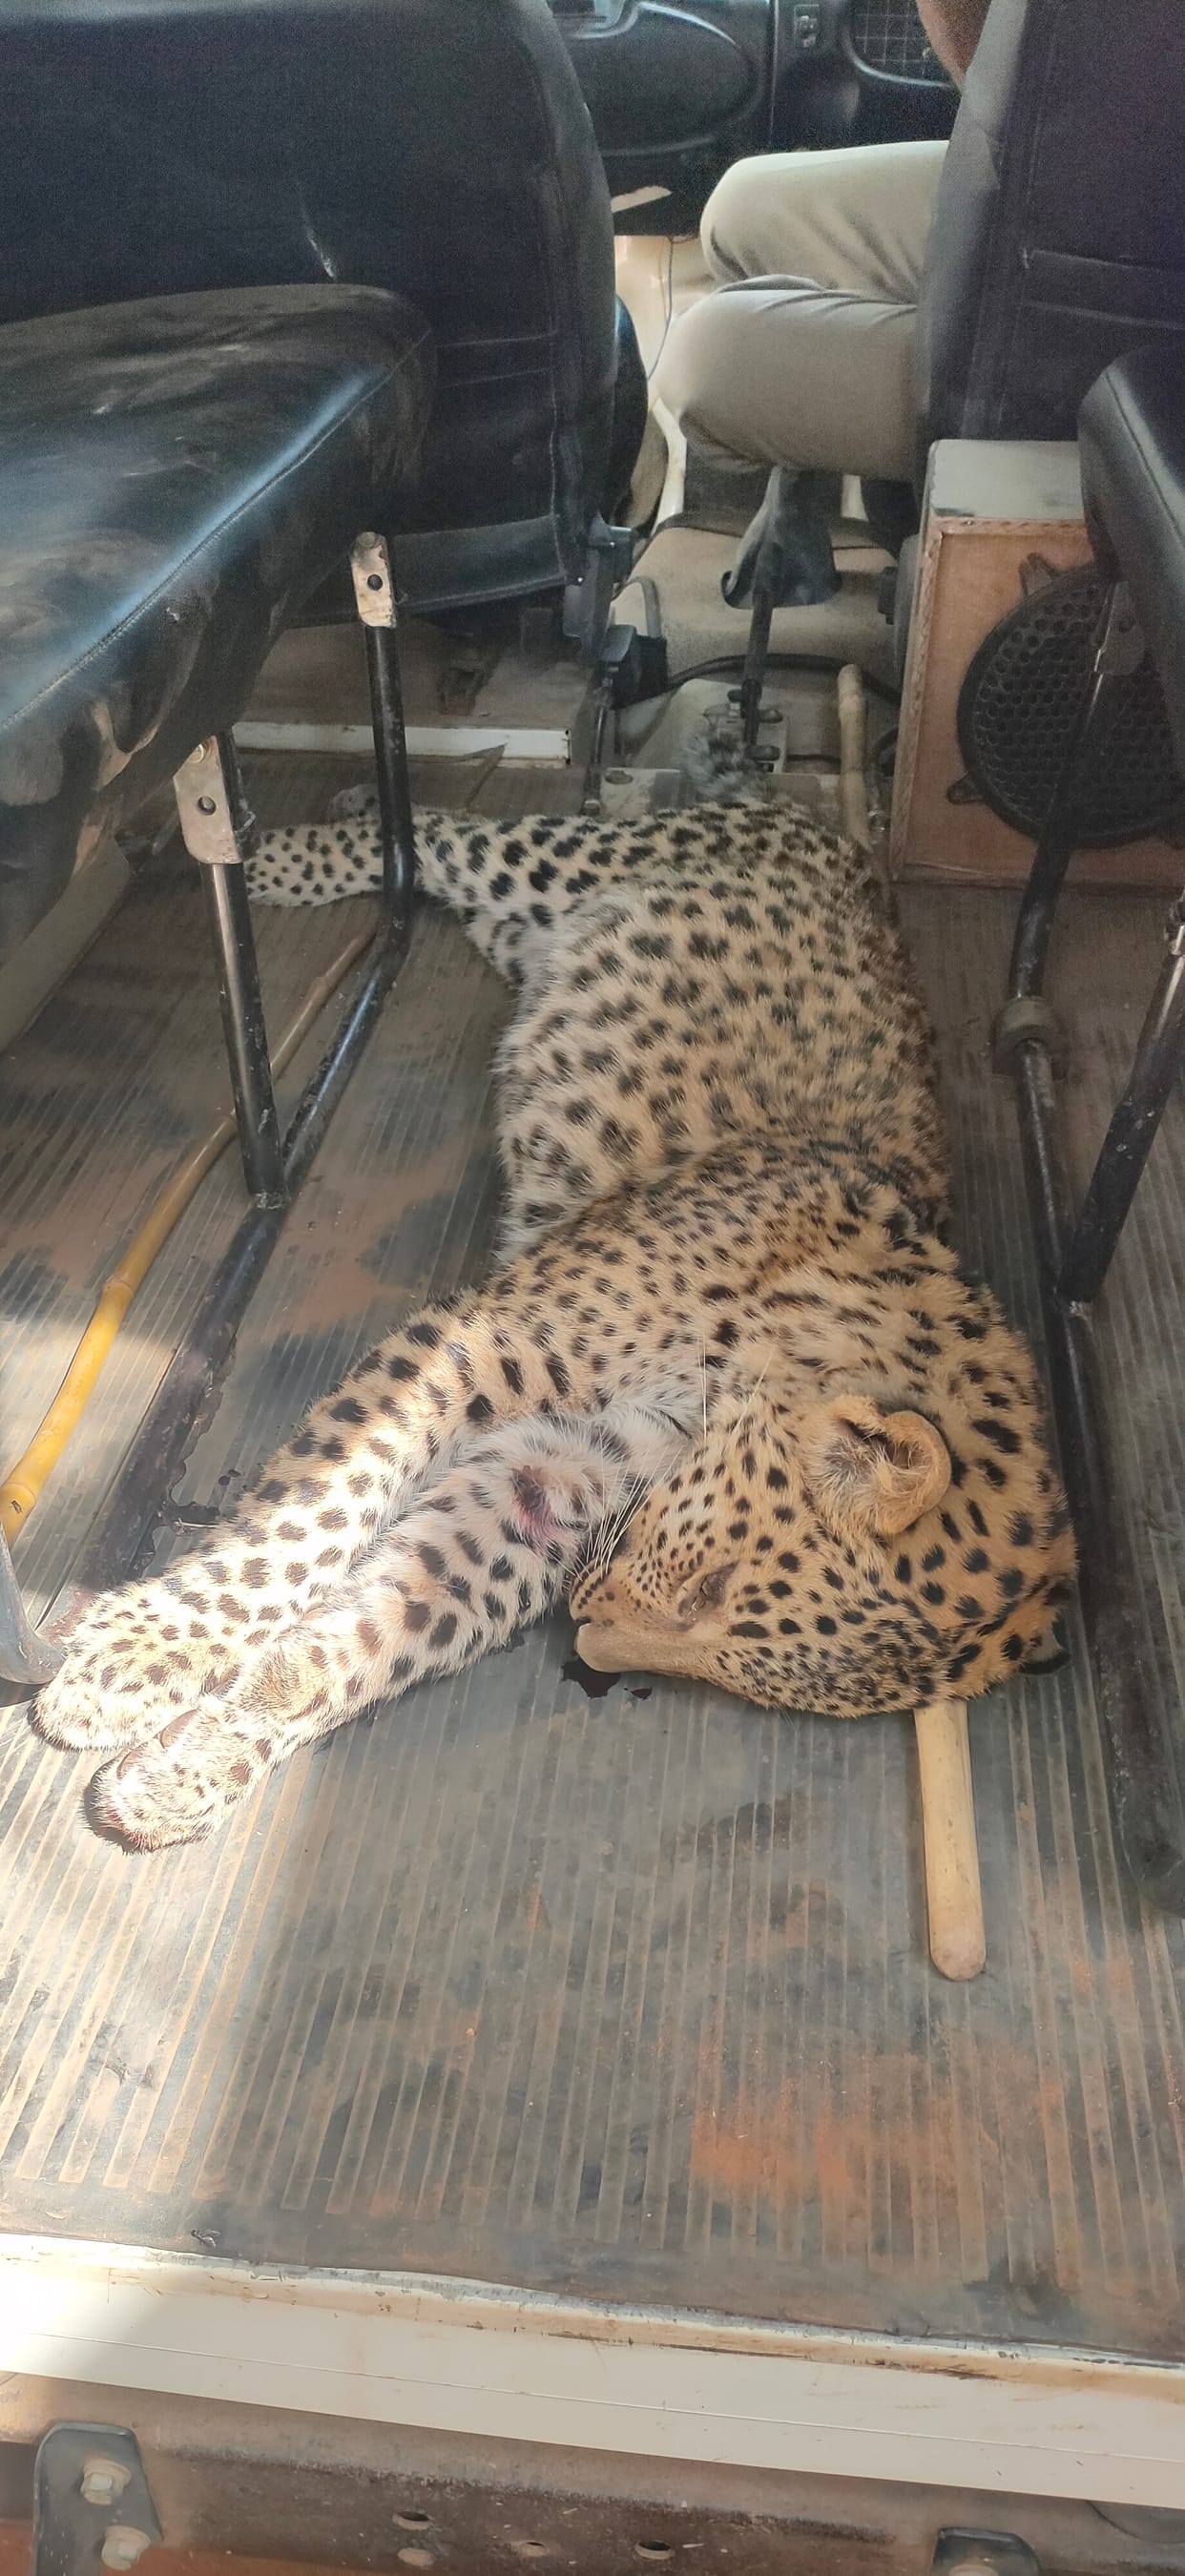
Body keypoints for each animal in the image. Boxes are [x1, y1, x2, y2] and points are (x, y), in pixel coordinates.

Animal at [33, 795, 1075, 1848]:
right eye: (709, 1593)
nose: (589, 1639)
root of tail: (829, 826)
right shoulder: (479, 1344)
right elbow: (308, 1518)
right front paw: (137, 1653)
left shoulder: (557, 1476)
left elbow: (389, 1628)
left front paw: (196, 1766)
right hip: (562, 863)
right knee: (446, 830)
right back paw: (269, 853)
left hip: (532, 935)